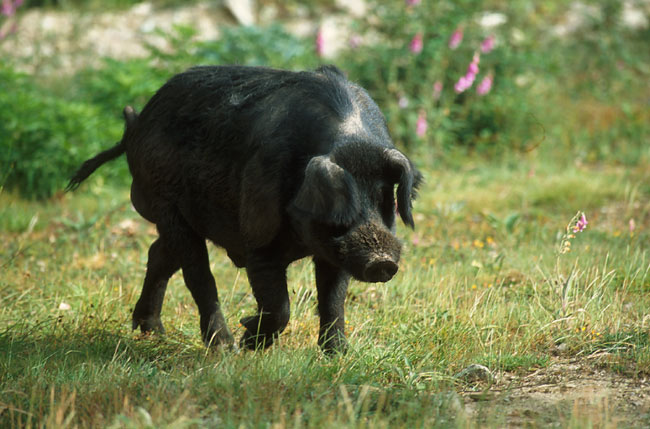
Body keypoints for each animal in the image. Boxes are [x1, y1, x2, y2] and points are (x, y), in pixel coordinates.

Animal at [67, 65, 422, 353]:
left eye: (384, 198)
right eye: (340, 204)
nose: (382, 262)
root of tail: (137, 124)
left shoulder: (336, 253)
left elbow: (333, 302)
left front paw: (339, 355)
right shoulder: (258, 240)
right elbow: (279, 306)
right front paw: (248, 338)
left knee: (159, 254)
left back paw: (152, 331)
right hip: (167, 205)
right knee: (197, 275)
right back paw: (225, 348)